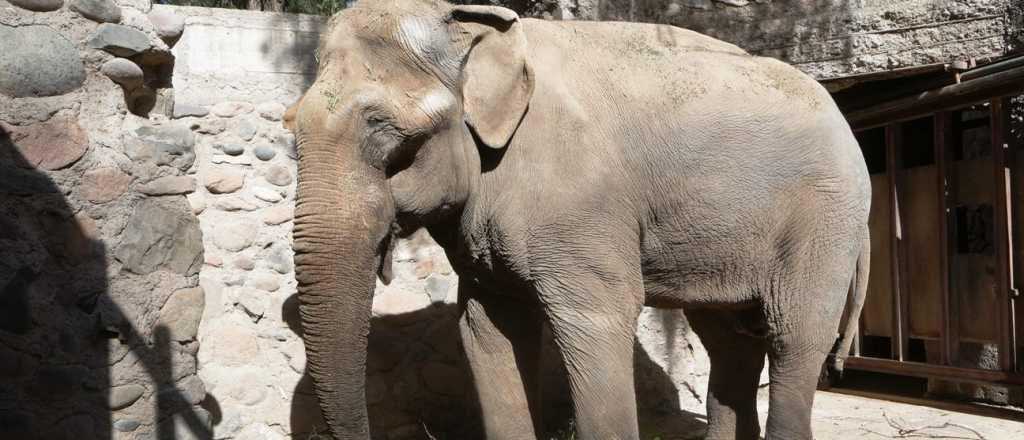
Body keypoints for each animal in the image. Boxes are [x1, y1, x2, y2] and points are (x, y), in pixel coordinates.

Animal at [284, 0, 871, 439]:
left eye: (389, 134)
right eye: (291, 125)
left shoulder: (580, 201)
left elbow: (596, 320)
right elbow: (486, 328)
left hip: (825, 217)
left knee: (793, 337)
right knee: (730, 342)